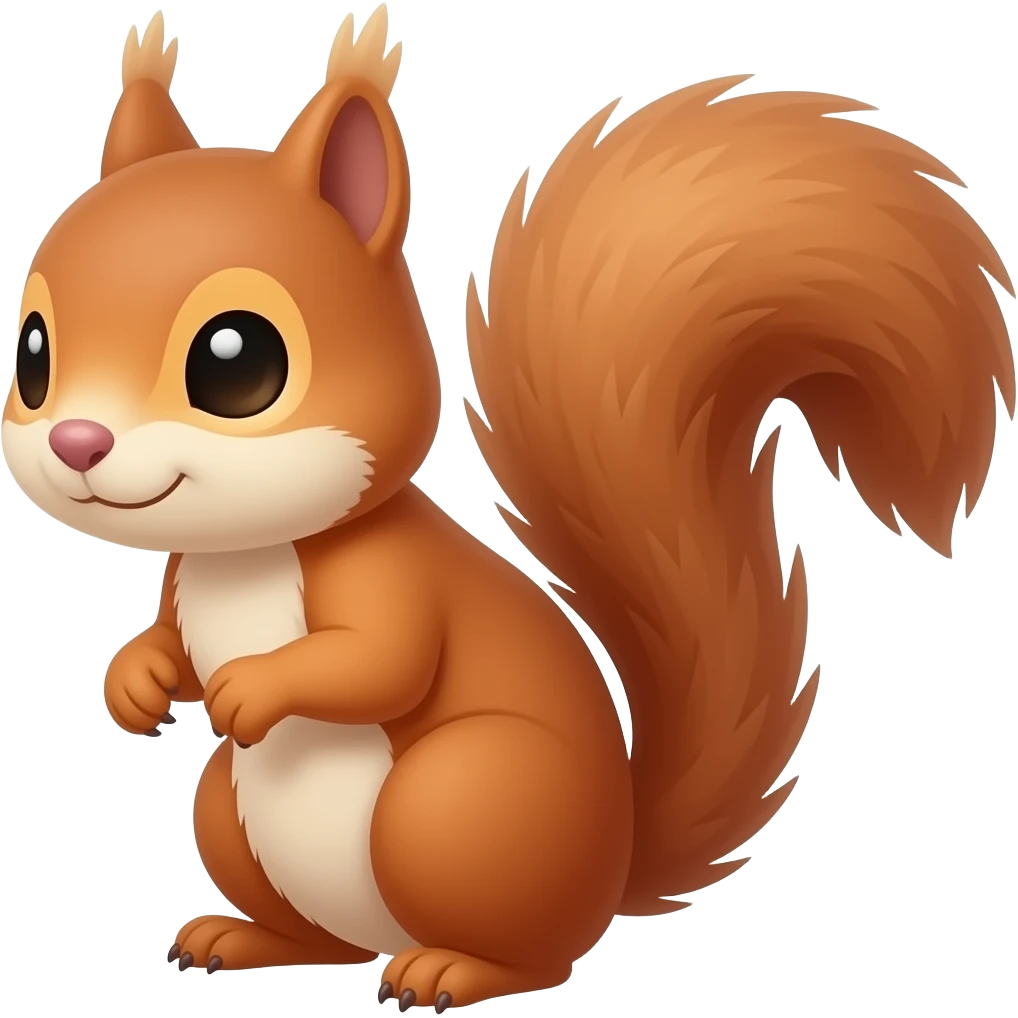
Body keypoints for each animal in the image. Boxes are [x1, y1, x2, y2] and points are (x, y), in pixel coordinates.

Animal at [4, 5, 1015, 1011]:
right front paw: (134, 682)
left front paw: (251, 686)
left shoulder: (388, 576)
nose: (78, 444)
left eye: (236, 360)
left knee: (533, 955)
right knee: (321, 936)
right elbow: (171, 640)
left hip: (458, 801)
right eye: (33, 354)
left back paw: (451, 970)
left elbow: (380, 661)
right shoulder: (185, 579)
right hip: (231, 810)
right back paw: (246, 938)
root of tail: (611, 875)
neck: (249, 552)